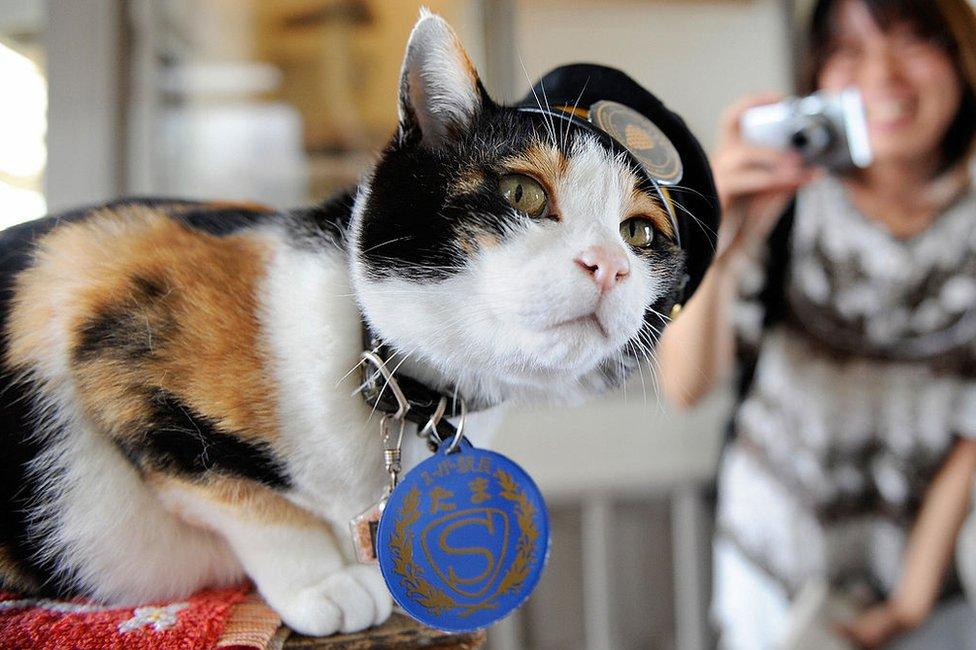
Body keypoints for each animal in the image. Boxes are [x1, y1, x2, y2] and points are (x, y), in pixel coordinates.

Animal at [0, 10, 716, 636]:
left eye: (639, 233)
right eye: (523, 194)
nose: (610, 266)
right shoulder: (98, 289)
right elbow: (241, 491)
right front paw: (327, 581)